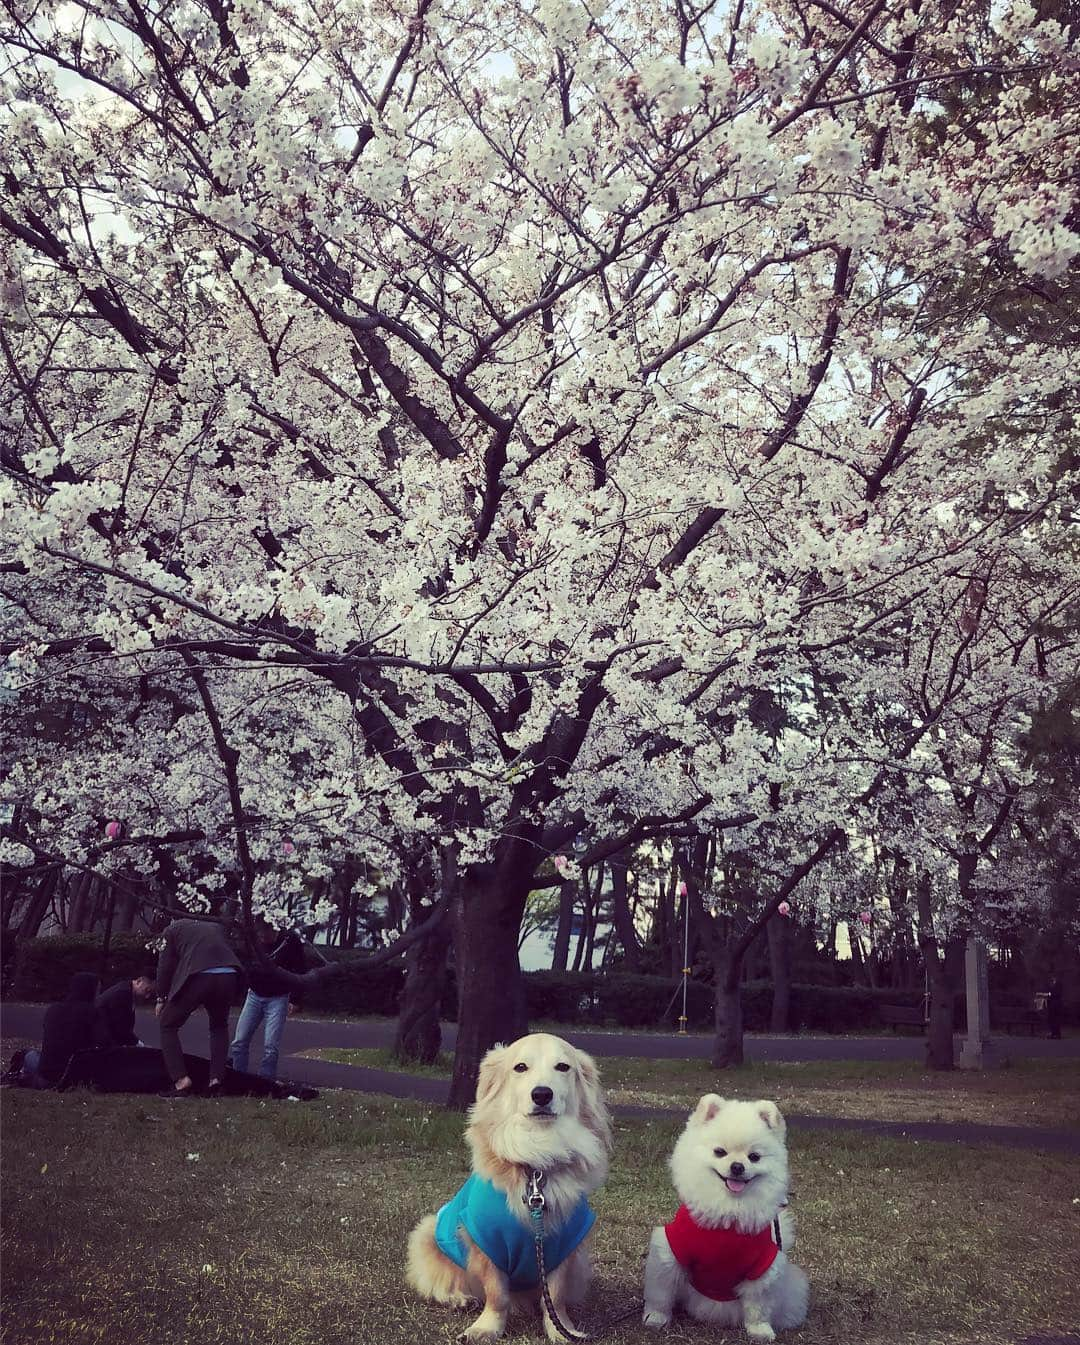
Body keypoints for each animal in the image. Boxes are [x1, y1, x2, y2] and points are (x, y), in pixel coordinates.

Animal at [406, 1032, 613, 1339]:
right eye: (520, 1068)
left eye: (563, 1067)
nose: (542, 1094)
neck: (536, 1163)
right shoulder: (487, 1241)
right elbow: (497, 1294)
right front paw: (486, 1328)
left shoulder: (564, 1246)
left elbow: (555, 1296)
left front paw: (561, 1330)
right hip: (428, 1234)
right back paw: (459, 1298)